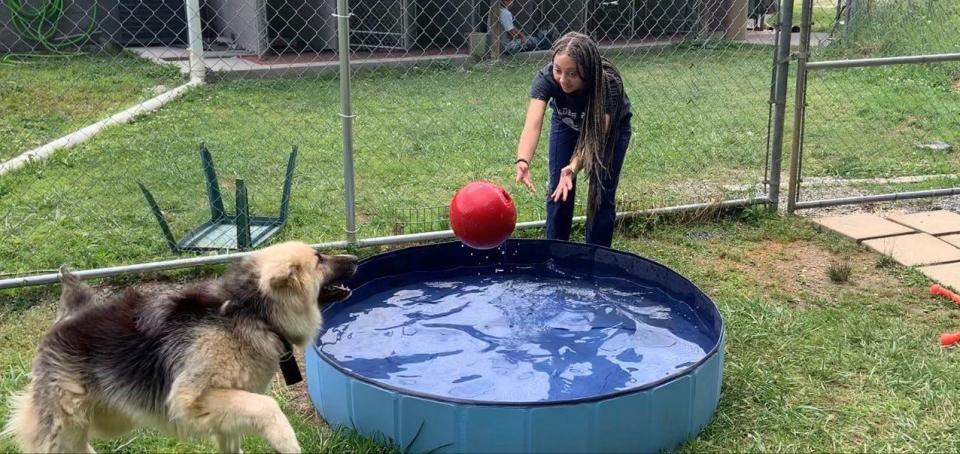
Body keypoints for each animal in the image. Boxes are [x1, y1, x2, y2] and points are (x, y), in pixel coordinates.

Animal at [1, 243, 358, 454]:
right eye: (319, 259)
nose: (355, 259)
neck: (252, 313)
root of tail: (64, 320)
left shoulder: (225, 409)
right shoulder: (191, 400)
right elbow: (269, 408)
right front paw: (287, 442)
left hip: (107, 417)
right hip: (66, 424)